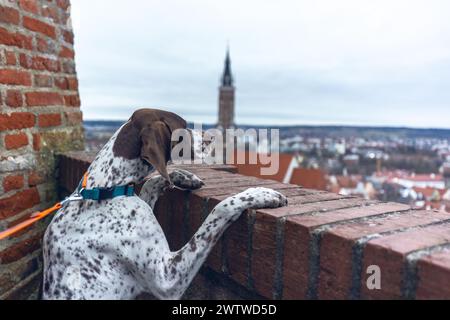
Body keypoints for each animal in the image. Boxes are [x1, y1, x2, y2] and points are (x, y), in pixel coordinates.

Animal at [43, 109, 288, 298]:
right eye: (183, 127)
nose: (210, 137)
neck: (106, 189)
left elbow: (153, 182)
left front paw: (183, 177)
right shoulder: (167, 277)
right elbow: (219, 210)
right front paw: (260, 194)